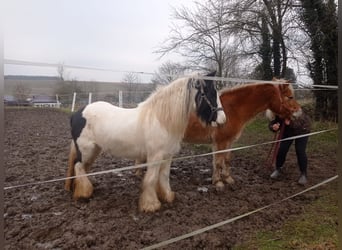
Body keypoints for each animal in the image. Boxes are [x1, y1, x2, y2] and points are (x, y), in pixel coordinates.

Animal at [65, 71, 227, 212]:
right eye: (210, 93)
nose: (223, 119)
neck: (161, 119)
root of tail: (77, 113)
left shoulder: (167, 157)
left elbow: (164, 177)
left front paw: (167, 196)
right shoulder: (155, 157)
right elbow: (151, 179)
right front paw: (150, 205)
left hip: (94, 150)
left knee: (82, 168)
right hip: (86, 150)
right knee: (78, 166)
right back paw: (84, 193)